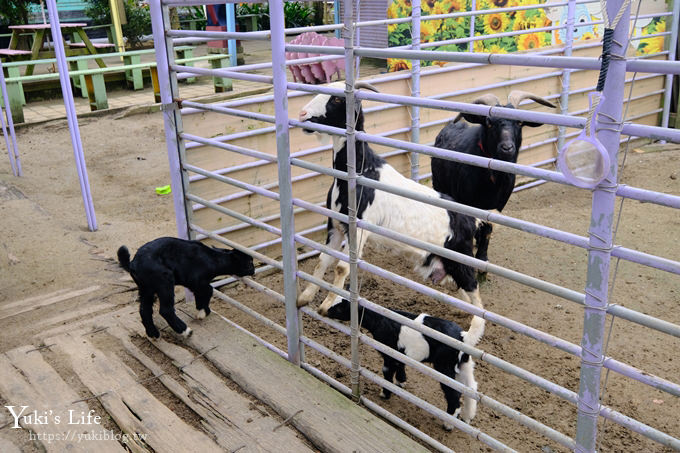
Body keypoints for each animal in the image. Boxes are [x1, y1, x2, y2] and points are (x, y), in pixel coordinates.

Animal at [117, 238, 255, 338]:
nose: (253, 270)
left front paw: (201, 310)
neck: (213, 259)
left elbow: (202, 292)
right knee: (165, 310)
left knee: (144, 309)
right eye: (249, 263)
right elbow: (209, 290)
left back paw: (153, 334)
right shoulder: (197, 280)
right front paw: (202, 313)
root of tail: (132, 264)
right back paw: (185, 331)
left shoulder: (194, 284)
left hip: (145, 288)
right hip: (164, 281)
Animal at [298, 81, 484, 314]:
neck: (362, 170)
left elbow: (342, 267)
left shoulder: (359, 227)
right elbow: (322, 260)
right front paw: (304, 297)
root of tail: (471, 219)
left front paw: (327, 303)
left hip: (460, 257)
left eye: (338, 99)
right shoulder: (336, 225)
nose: (302, 114)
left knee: (474, 290)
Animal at [326, 294, 480, 430]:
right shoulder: (399, 353)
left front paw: (385, 394)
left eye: (339, 308)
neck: (380, 319)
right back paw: (467, 417)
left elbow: (387, 371)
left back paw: (448, 424)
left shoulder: (389, 352)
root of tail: (463, 337)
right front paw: (401, 382)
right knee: (471, 388)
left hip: (444, 365)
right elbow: (400, 365)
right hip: (464, 364)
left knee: (453, 392)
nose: (324, 310)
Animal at [432, 90, 556, 270]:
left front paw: (482, 257)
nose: (507, 148)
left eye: (519, 122)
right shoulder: (466, 200)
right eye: (489, 123)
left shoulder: (497, 205)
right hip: (439, 184)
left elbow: (488, 228)